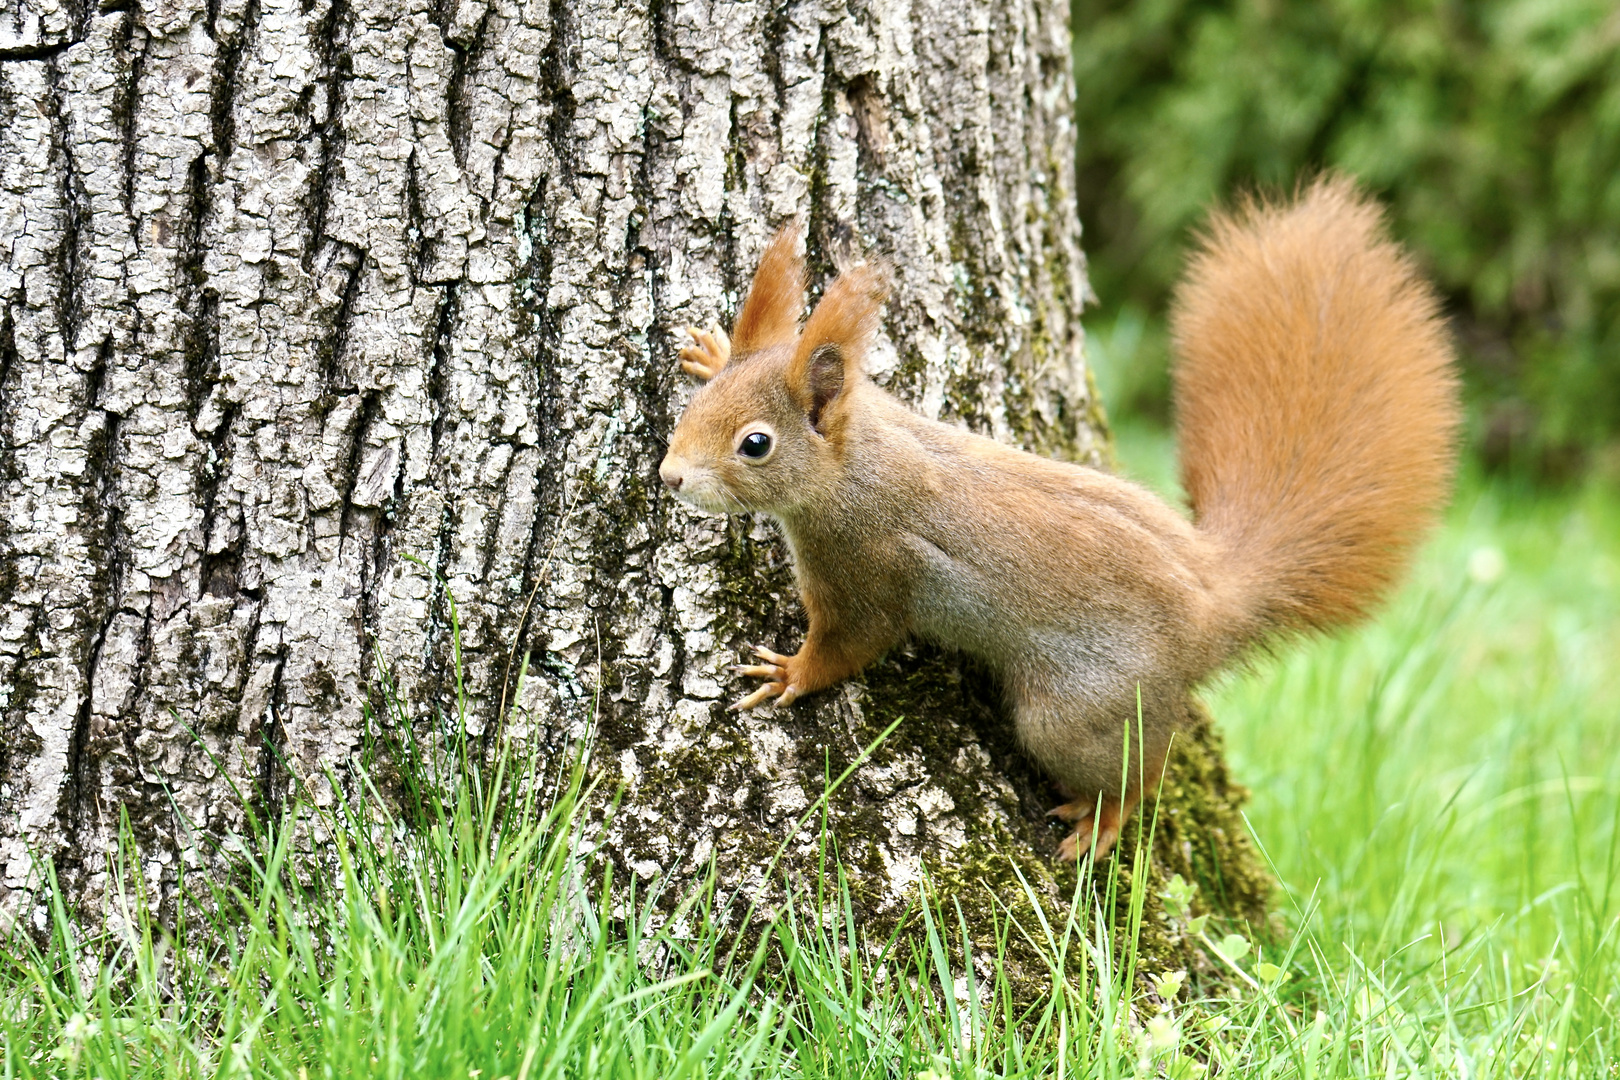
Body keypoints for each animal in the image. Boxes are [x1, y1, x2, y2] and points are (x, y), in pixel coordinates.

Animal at [654, 181, 1458, 867]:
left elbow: (853, 642)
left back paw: (1102, 819)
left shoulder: (867, 564)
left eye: (755, 444)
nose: (669, 476)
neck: (860, 462)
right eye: (697, 409)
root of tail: (1215, 606)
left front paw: (790, 673)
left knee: (1143, 768)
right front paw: (714, 349)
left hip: (1075, 710)